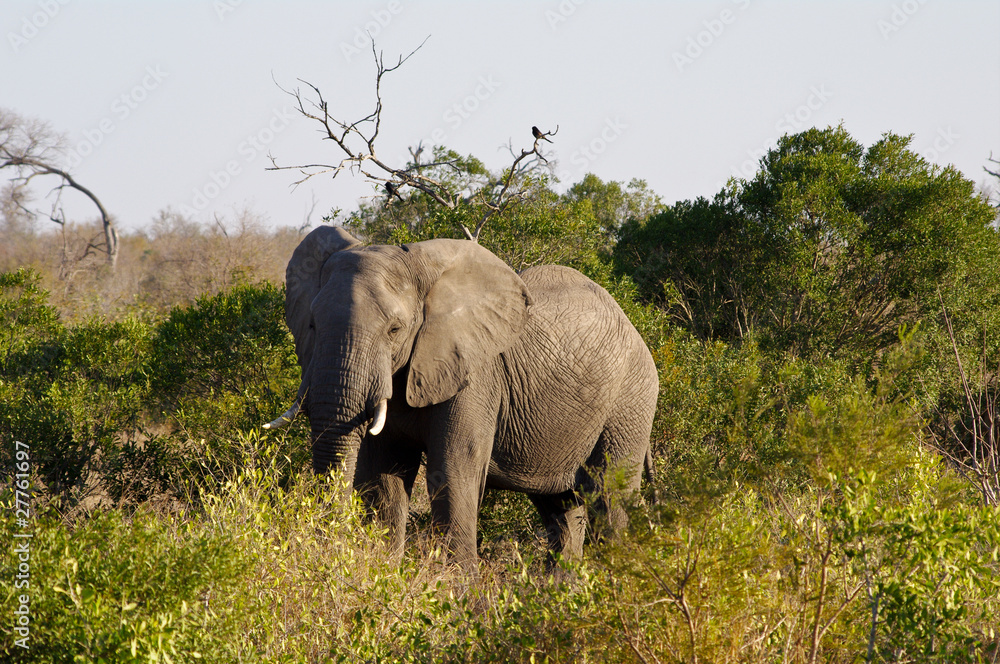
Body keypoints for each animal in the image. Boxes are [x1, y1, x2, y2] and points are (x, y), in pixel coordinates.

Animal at [264, 226, 658, 568]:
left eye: (395, 329)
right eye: (312, 325)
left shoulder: (476, 377)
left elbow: (452, 472)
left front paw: (460, 602)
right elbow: (383, 478)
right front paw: (385, 576)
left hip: (630, 401)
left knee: (610, 500)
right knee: (561, 511)